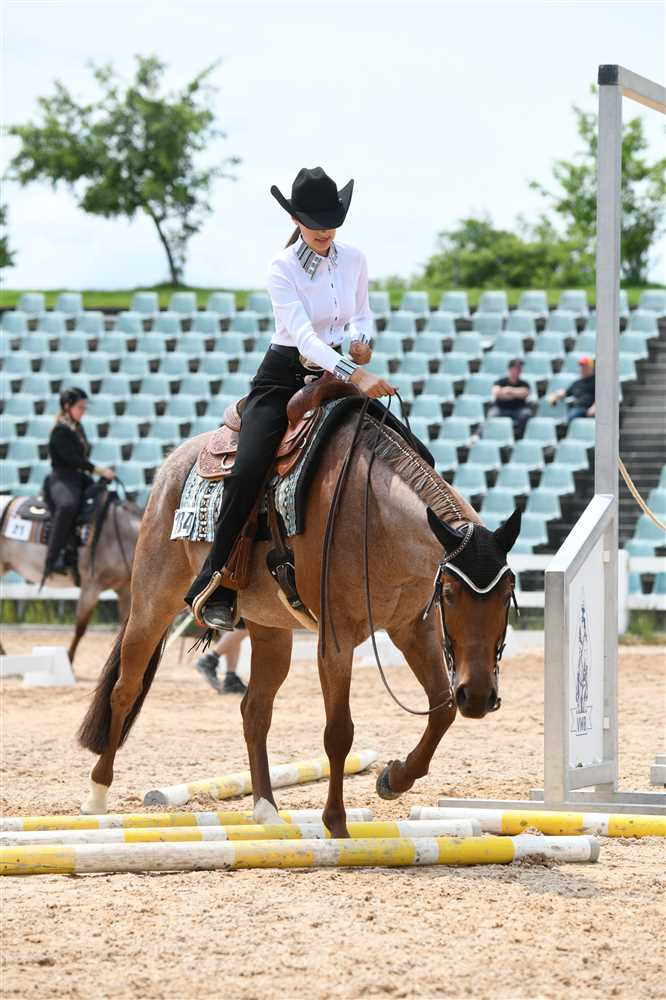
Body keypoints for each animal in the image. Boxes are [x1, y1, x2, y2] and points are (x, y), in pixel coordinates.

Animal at [77, 408, 521, 836]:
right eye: (450, 593)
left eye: (506, 595)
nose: (479, 695)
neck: (373, 515)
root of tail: (172, 464)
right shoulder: (337, 638)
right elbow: (339, 731)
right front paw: (336, 823)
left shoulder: (413, 628)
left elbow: (442, 709)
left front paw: (394, 779)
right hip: (153, 602)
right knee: (125, 689)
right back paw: (96, 795)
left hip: (270, 631)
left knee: (254, 710)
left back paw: (267, 810)